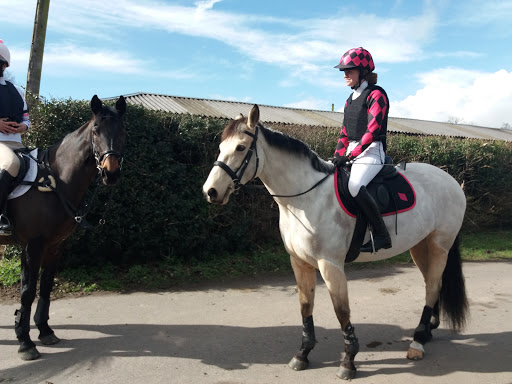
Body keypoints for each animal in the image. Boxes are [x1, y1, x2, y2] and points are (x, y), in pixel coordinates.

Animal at [1, 94, 125, 358]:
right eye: (96, 130)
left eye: (123, 130)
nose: (110, 173)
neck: (55, 180)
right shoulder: (32, 245)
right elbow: (28, 290)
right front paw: (25, 342)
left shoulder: (55, 245)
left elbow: (46, 286)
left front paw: (45, 331)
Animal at [203, 105, 468, 380]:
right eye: (221, 147)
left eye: (241, 147)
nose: (210, 191)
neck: (306, 198)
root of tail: (452, 182)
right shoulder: (299, 262)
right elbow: (305, 306)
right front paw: (303, 354)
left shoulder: (330, 265)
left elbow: (341, 311)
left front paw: (348, 362)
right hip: (420, 246)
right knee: (432, 284)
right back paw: (426, 332)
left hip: (439, 245)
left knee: (433, 286)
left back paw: (417, 342)